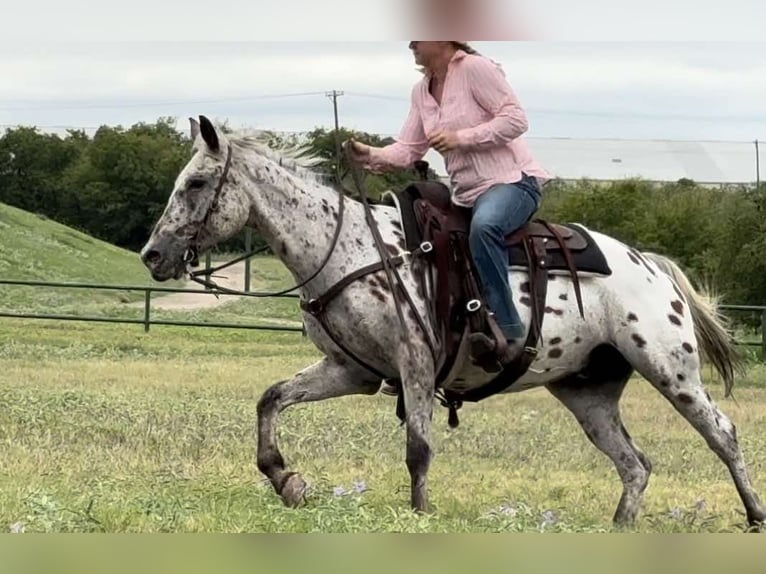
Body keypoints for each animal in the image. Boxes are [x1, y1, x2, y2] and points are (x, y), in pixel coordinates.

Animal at [140, 116, 766, 529]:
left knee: (723, 434)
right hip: (587, 392)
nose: (152, 255)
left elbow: (418, 447)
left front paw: (419, 515)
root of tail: (650, 264)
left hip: (670, 369)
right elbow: (271, 399)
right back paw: (621, 527)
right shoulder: (351, 369)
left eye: (196, 183)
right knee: (635, 465)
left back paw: (754, 514)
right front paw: (286, 480)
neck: (349, 246)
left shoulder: (415, 362)